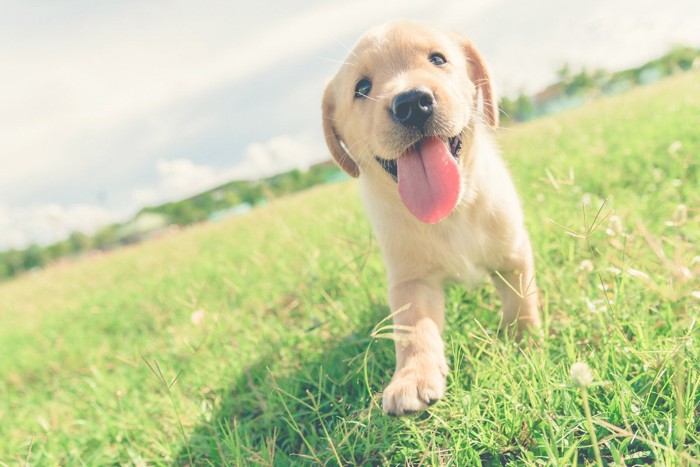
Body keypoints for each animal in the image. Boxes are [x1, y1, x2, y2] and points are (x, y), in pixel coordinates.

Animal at [322, 21, 540, 416]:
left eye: (437, 60)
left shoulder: (511, 252)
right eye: (362, 88)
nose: (411, 103)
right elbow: (413, 329)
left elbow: (521, 299)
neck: (451, 212)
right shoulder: (412, 280)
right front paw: (412, 378)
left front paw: (524, 341)